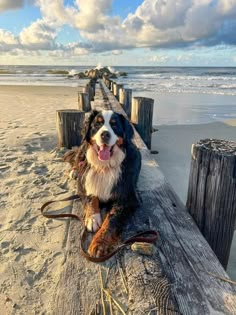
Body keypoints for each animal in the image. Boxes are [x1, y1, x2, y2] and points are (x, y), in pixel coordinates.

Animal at [63, 110, 141, 258]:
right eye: (97, 124)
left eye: (114, 125)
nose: (105, 134)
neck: (104, 166)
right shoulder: (83, 185)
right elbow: (91, 198)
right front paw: (93, 218)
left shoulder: (128, 198)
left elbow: (112, 220)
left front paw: (99, 243)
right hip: (83, 150)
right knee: (78, 159)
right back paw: (74, 171)